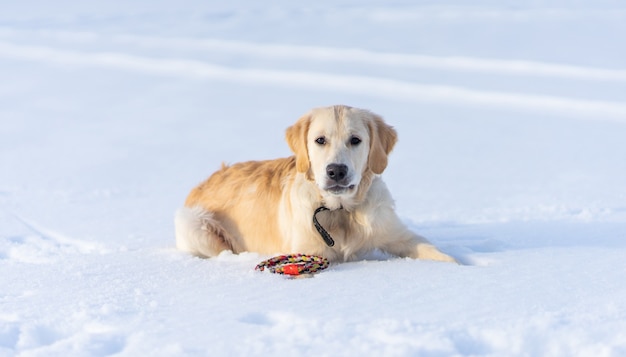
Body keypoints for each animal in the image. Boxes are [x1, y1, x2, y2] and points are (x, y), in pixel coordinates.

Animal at [176, 104, 454, 262]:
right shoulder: (308, 250)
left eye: (355, 140)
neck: (341, 211)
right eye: (320, 140)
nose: (336, 171)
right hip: (194, 224)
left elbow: (437, 253)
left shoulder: (400, 235)